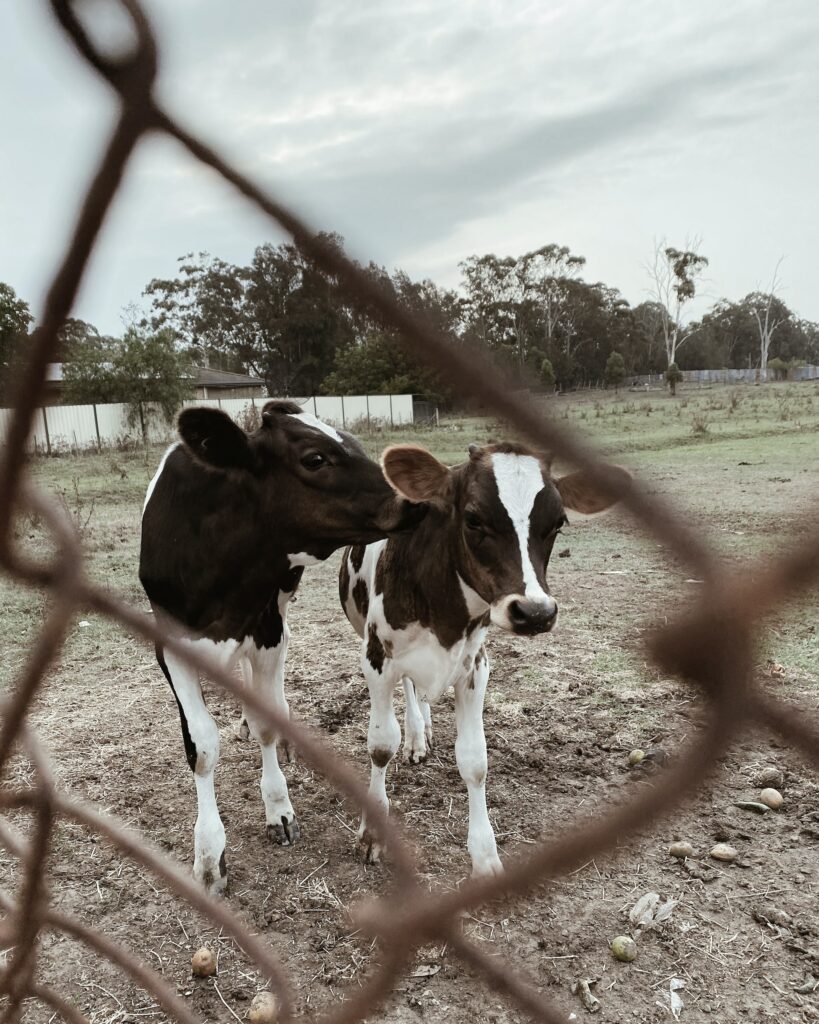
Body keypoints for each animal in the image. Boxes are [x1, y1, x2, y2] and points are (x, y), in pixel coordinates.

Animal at [139, 397, 421, 888]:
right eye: (315, 459)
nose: (411, 500)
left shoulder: (267, 627)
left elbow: (268, 722)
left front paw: (278, 809)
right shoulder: (170, 645)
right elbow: (201, 748)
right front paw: (209, 853)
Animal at [339, 444, 626, 876]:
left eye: (558, 523)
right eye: (473, 518)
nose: (535, 612)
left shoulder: (475, 666)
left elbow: (475, 760)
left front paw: (485, 855)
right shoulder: (376, 658)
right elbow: (381, 744)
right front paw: (373, 832)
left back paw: (422, 732)